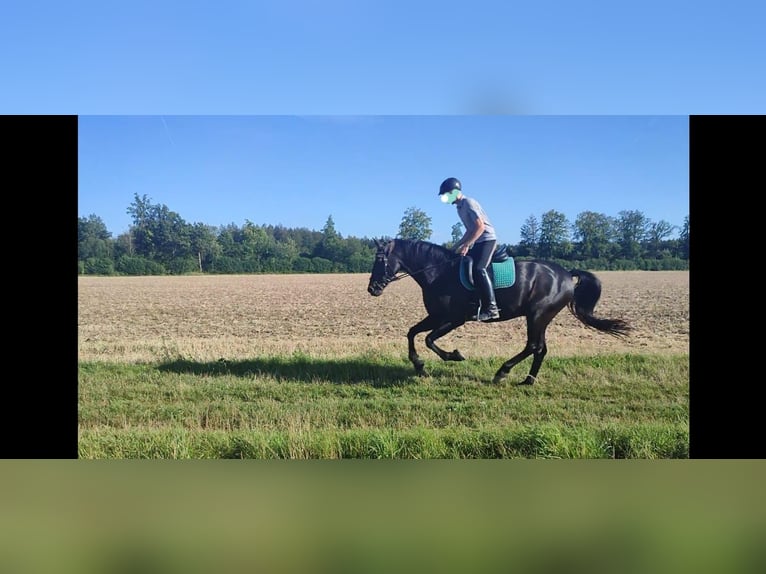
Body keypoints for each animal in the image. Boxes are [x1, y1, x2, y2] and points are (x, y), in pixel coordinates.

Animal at [368, 238, 632, 388]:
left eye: (380, 261)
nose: (372, 289)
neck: (439, 273)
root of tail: (567, 274)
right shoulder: (436, 317)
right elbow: (412, 333)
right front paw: (419, 365)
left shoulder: (453, 319)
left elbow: (428, 339)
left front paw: (454, 355)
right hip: (540, 318)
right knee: (540, 349)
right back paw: (527, 381)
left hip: (537, 315)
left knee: (533, 346)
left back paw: (502, 372)